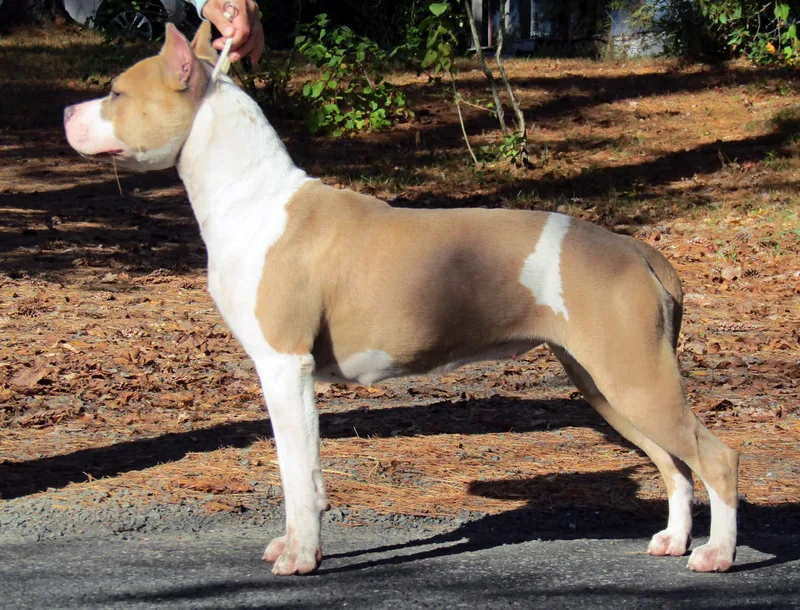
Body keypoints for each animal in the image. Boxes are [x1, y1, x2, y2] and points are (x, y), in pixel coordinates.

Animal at [64, 23, 739, 575]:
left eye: (115, 93)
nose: (67, 109)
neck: (251, 195)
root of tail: (635, 249)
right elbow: (305, 474)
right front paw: (297, 546)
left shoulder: (284, 367)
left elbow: (296, 473)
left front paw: (301, 558)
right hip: (604, 385)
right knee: (674, 465)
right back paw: (675, 540)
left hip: (636, 379)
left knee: (716, 458)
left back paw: (717, 554)